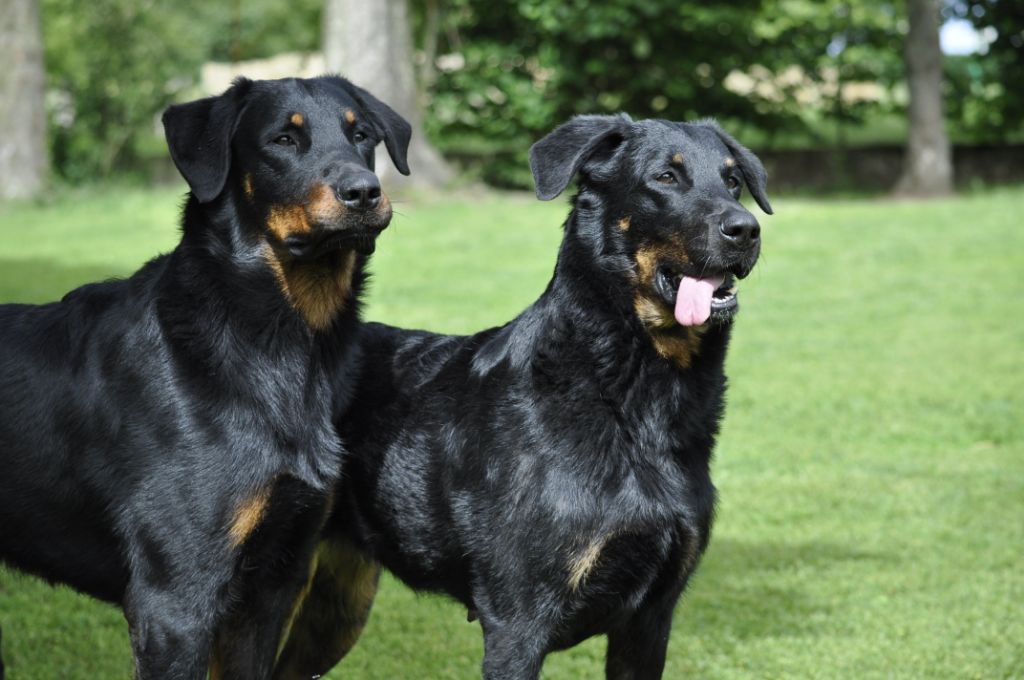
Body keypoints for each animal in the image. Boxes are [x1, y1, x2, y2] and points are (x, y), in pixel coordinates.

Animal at [0, 74, 407, 680]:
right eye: (283, 139)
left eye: (363, 136)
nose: (364, 192)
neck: (278, 346)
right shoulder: (175, 598)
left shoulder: (273, 581)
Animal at [276, 112, 770, 680]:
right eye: (665, 178)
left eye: (733, 182)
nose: (746, 229)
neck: (627, 397)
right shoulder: (518, 624)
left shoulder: (650, 620)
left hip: (338, 604)